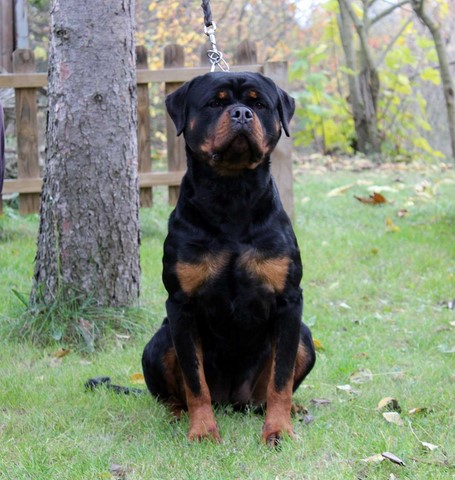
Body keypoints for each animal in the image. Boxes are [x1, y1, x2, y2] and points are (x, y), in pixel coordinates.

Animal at [143, 72, 318, 446]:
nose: (241, 114)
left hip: (304, 339)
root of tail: (232, 400)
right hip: (159, 342)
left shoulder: (289, 301)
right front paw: (202, 431)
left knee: (271, 389)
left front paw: (278, 430)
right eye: (215, 103)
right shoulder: (181, 304)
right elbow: (195, 381)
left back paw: (291, 410)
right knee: (174, 392)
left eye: (259, 104)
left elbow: (281, 379)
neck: (232, 194)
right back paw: (176, 415)